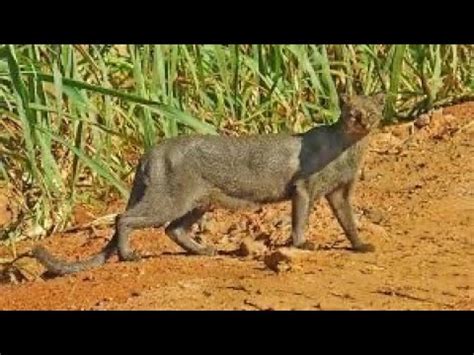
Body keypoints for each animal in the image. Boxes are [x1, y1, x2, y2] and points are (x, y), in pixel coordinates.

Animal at [33, 94, 384, 276]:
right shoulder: (303, 188)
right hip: (169, 200)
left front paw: (360, 245)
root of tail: (152, 150)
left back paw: (204, 250)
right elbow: (300, 221)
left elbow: (349, 222)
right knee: (125, 218)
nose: (364, 121)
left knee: (173, 229)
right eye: (353, 113)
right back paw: (128, 255)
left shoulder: (340, 192)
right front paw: (301, 244)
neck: (348, 149)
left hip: (199, 202)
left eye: (371, 111)